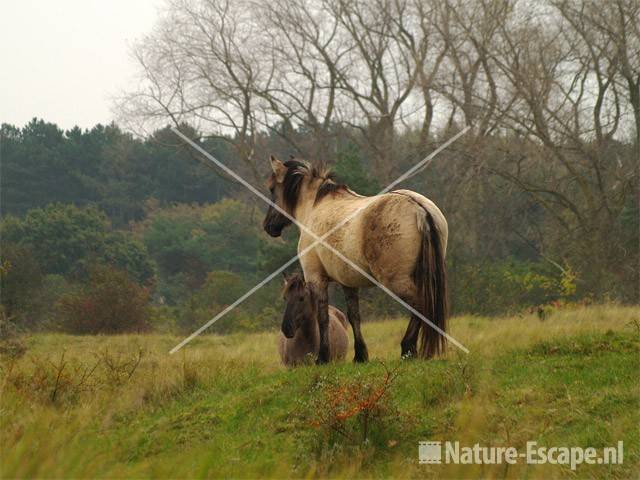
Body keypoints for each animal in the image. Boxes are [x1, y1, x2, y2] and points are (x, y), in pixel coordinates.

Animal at [262, 158, 448, 364]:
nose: (268, 226)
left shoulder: (315, 278)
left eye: (272, 189)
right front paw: (360, 355)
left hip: (396, 281)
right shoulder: (348, 282)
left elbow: (322, 317)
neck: (315, 207)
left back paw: (407, 348)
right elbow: (354, 317)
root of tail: (419, 208)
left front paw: (323, 357)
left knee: (419, 305)